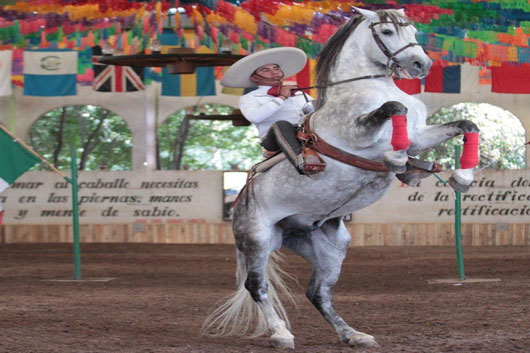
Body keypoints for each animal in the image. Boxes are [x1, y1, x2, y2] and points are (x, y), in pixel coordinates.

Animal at [200, 6, 476, 348]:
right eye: (386, 31)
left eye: (412, 30)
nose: (420, 65)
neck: (366, 87)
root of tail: (239, 201)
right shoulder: (359, 133)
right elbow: (393, 107)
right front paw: (397, 159)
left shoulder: (419, 136)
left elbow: (467, 125)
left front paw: (461, 177)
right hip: (257, 239)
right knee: (258, 287)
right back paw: (281, 333)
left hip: (330, 248)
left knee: (317, 293)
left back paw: (353, 334)